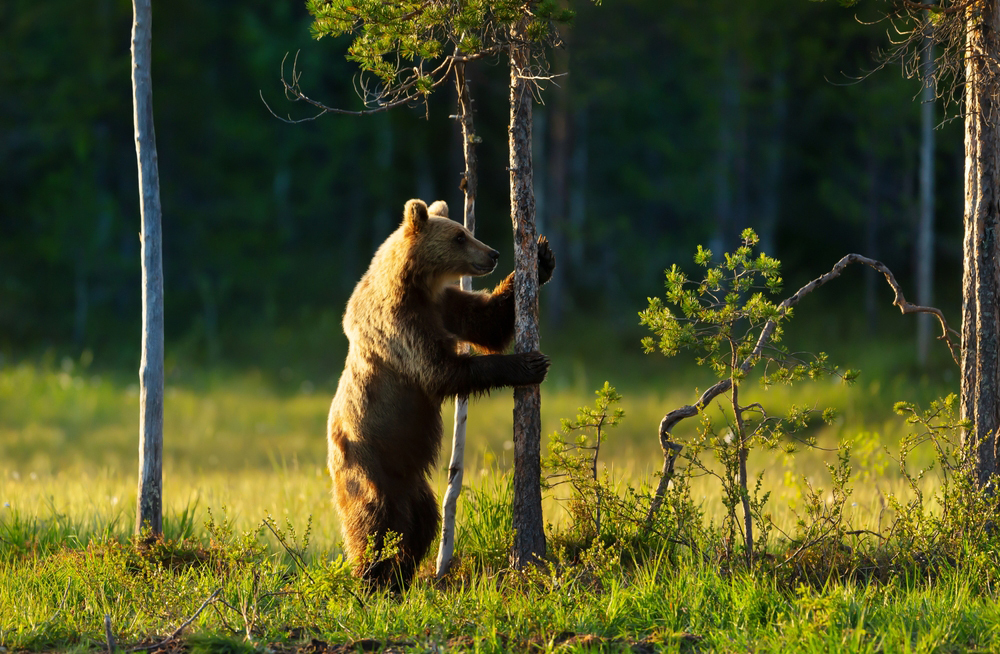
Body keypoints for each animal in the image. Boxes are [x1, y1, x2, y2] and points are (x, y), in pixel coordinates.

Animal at [326, 197, 556, 592]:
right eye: (459, 236)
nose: (493, 254)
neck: (419, 283)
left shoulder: (447, 305)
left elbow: (487, 322)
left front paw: (542, 255)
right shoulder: (402, 322)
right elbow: (442, 371)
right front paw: (529, 363)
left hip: (409, 478)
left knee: (421, 521)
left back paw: (401, 574)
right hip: (367, 462)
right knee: (374, 521)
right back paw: (371, 577)